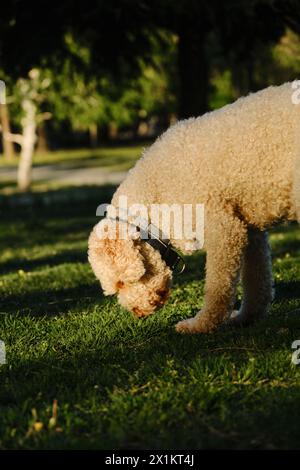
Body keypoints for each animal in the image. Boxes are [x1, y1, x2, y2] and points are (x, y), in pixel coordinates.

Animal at [88, 83, 300, 334]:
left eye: (121, 283)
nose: (136, 313)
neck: (155, 191)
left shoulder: (225, 230)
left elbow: (218, 287)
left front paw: (202, 324)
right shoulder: (250, 230)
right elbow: (257, 282)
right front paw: (245, 318)